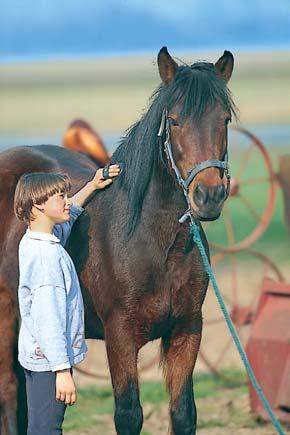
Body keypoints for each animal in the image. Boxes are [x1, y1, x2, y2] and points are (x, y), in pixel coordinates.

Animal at [0, 46, 236, 434]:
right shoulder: (121, 336)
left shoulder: (187, 330)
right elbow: (128, 414)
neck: (155, 244)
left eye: (225, 119)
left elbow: (184, 412)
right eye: (174, 120)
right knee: (8, 390)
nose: (209, 195)